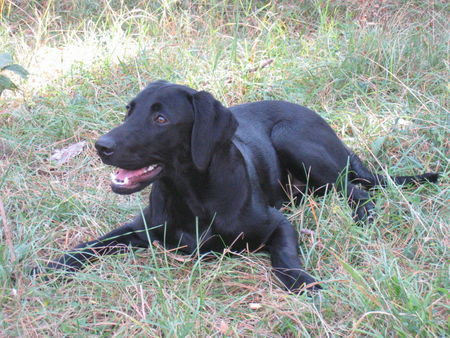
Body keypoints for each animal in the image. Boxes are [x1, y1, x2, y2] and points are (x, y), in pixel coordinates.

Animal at [39, 80, 440, 292]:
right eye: (129, 111)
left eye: (161, 118)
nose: (101, 146)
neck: (192, 197)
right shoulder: (140, 228)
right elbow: (91, 245)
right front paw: (49, 267)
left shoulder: (278, 225)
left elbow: (284, 260)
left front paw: (303, 283)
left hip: (297, 143)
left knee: (359, 190)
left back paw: (364, 218)